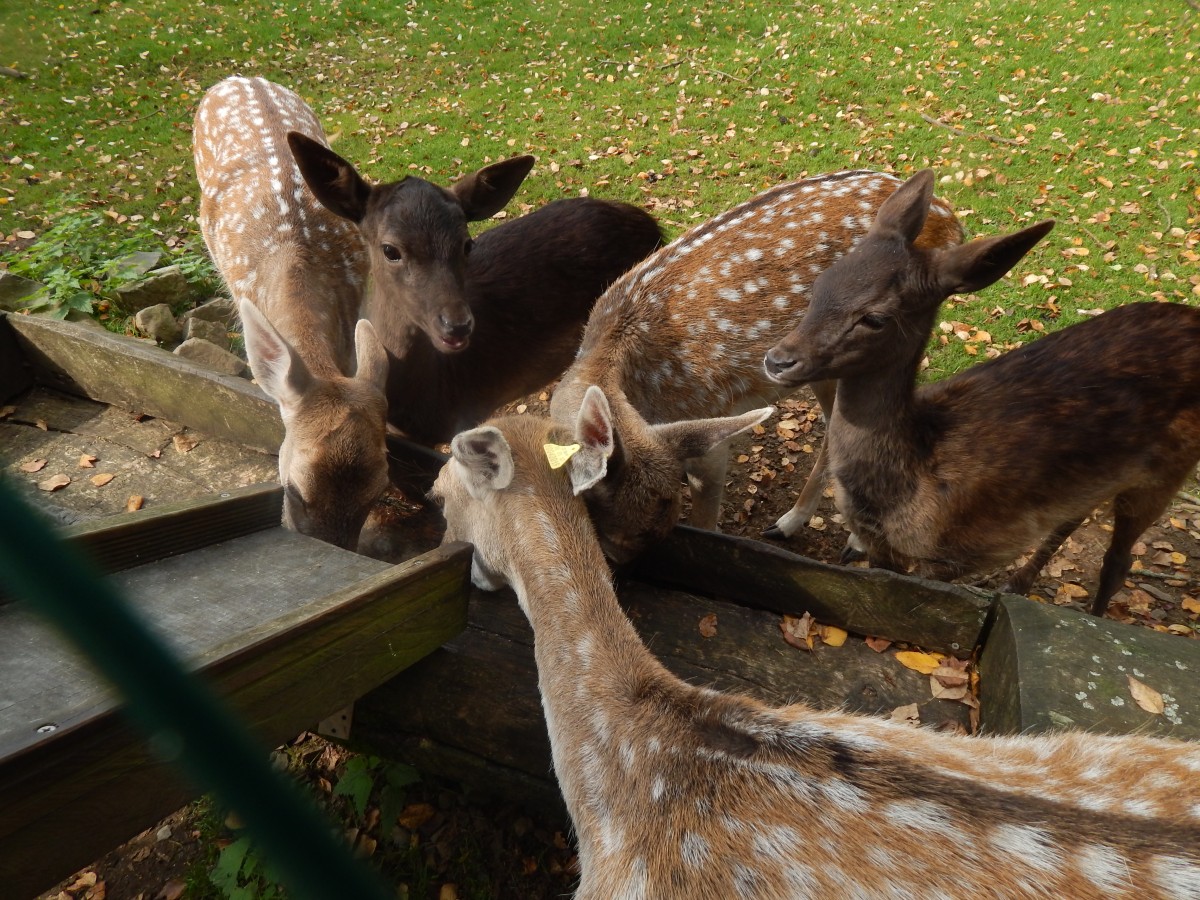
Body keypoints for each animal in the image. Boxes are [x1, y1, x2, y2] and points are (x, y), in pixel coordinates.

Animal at [549, 170, 964, 564]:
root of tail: (951, 220)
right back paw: (792, 524)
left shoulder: (707, 430)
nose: (619, 563)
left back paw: (837, 537)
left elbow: (706, 521)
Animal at [763, 168, 1200, 619]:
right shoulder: (882, 545)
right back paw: (1016, 585)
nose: (778, 360)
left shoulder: (963, 553)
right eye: (820, 283)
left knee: (1119, 560)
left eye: (874, 317)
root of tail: (1193, 315)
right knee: (1075, 516)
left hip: (1167, 471)